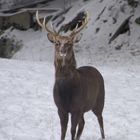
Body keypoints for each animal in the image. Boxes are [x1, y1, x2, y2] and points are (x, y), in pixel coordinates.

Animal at [36, 10, 105, 140]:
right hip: (83, 109)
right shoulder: (61, 108)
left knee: (100, 120)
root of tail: (96, 70)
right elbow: (63, 130)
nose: (62, 51)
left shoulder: (76, 107)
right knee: (83, 123)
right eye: (57, 43)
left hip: (99, 100)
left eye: (70, 43)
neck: (66, 92)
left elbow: (72, 130)